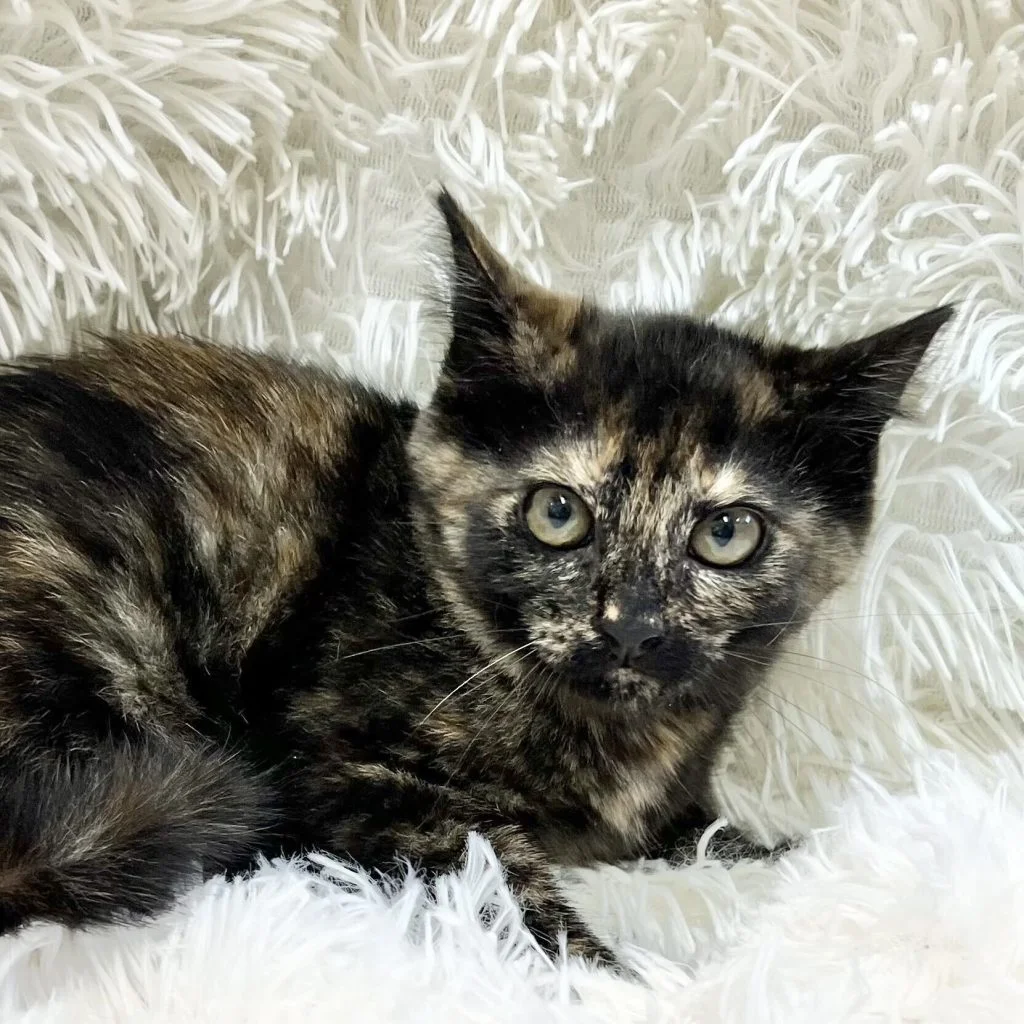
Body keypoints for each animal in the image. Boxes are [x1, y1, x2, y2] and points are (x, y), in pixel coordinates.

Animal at [0, 190, 951, 963]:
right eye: (557, 513)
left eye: (726, 533)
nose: (632, 624)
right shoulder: (351, 774)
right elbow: (500, 886)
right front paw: (607, 981)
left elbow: (718, 838)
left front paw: (799, 857)